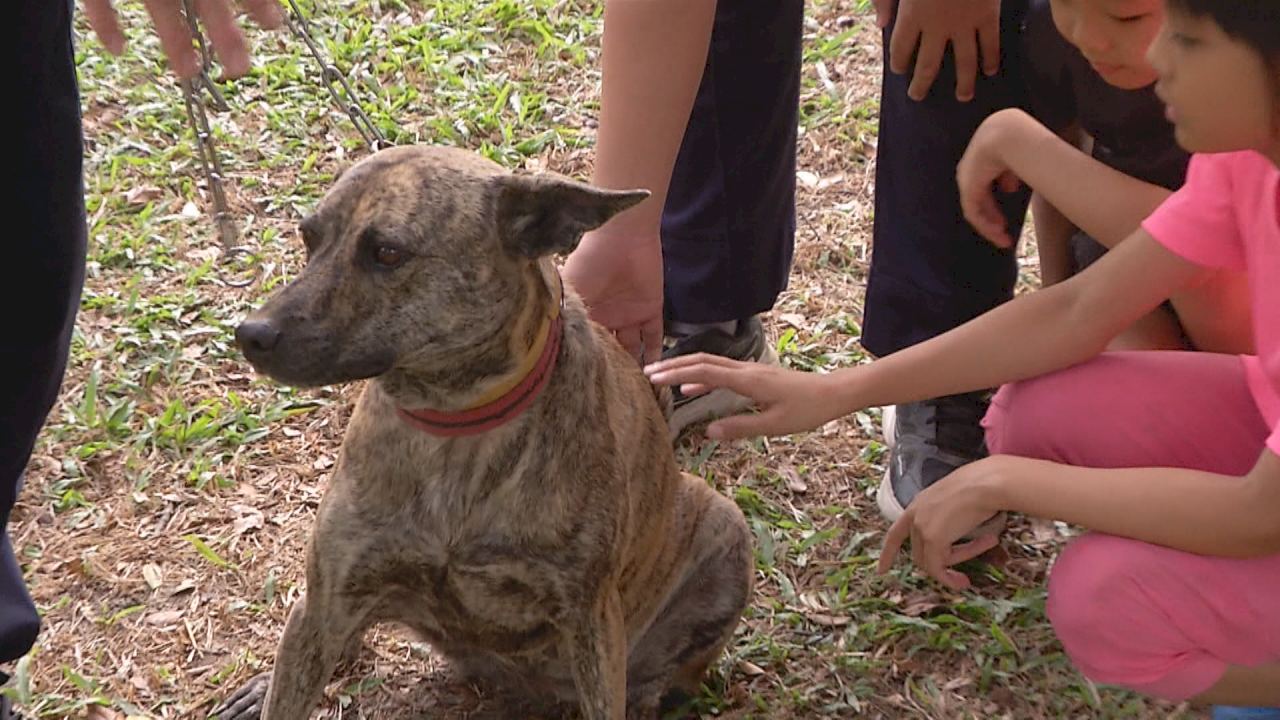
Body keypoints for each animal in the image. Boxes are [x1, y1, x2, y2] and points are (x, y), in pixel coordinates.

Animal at [208, 146, 747, 717]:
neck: (454, 423)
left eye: (387, 253)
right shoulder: (327, 597)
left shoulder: (591, 621)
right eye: (309, 239)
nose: (251, 334)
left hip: (725, 526)